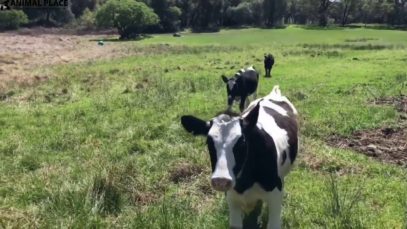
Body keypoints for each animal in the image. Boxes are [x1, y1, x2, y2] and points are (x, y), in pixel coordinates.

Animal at [180, 86, 298, 229]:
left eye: (242, 142)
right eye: (208, 142)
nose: (221, 180)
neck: (245, 184)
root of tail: (273, 93)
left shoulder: (275, 196)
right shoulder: (232, 199)